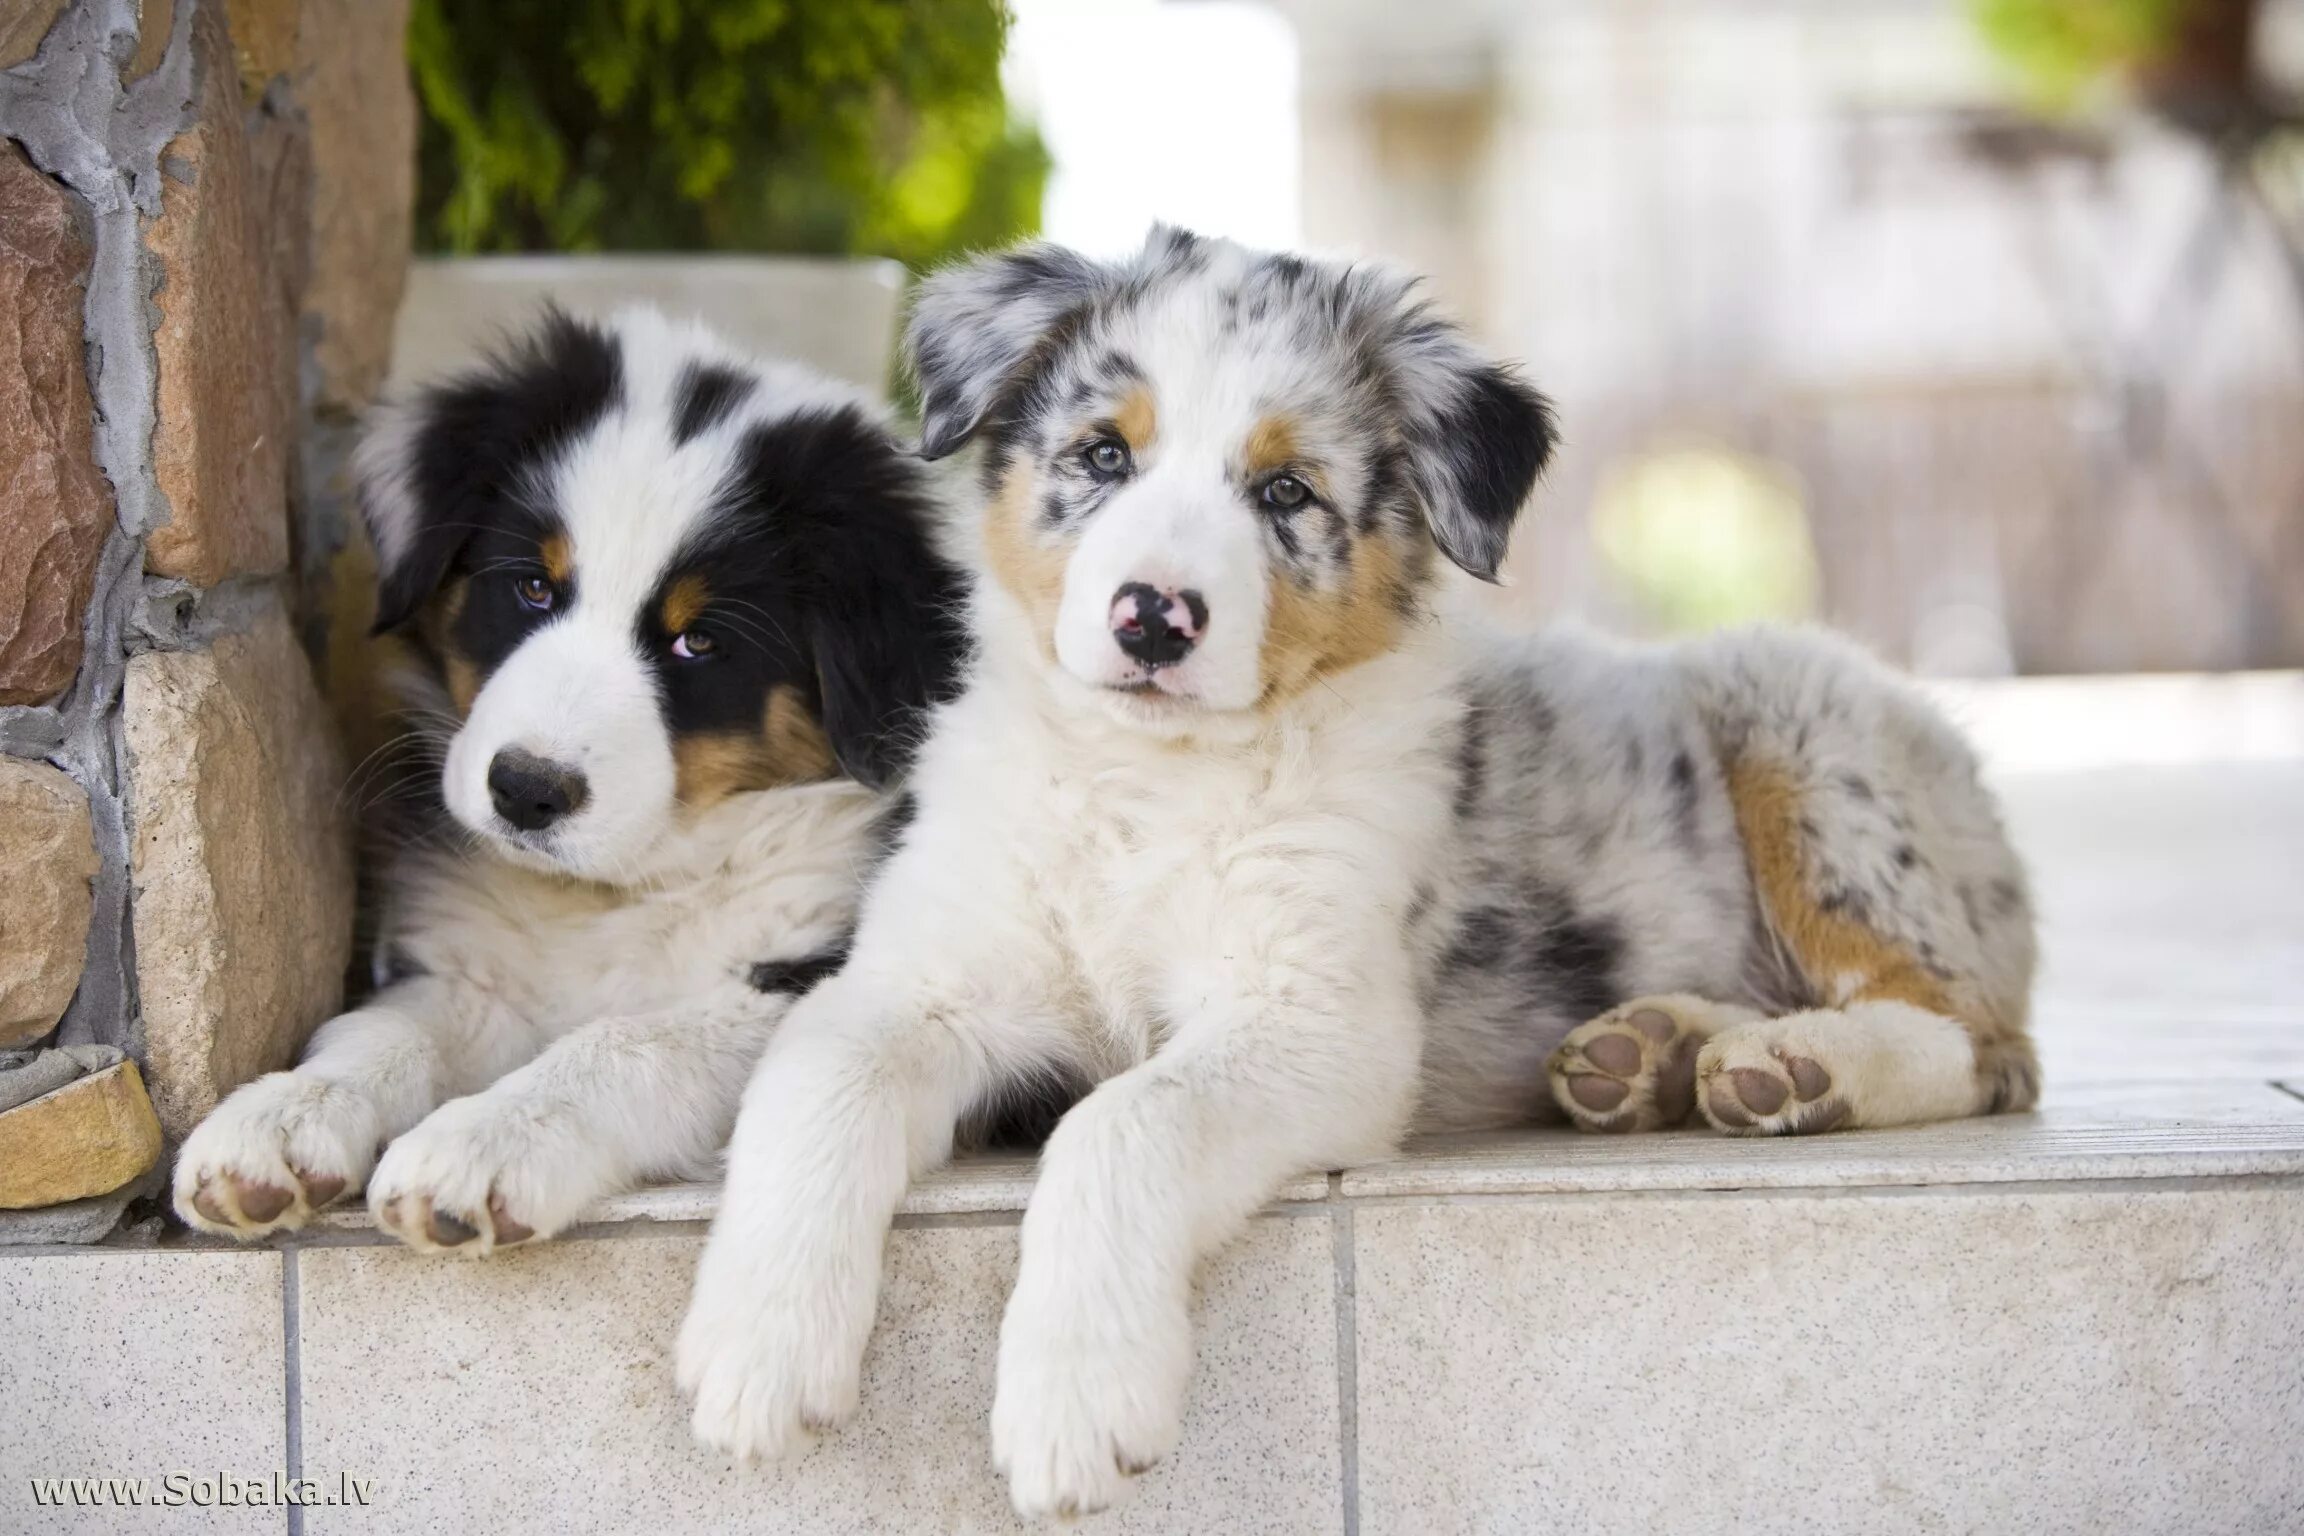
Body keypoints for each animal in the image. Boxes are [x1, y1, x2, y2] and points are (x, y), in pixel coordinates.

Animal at [175, 306, 958, 1252]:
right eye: (534, 588)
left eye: (698, 641)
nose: (526, 790)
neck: (613, 894)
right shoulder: (477, 970)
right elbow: (390, 1024)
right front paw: (284, 1115)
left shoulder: (810, 981)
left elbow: (627, 1043)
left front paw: (483, 1140)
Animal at [672, 227, 2036, 1510]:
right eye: (1103, 457)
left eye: (1285, 491)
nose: (1152, 616)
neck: (1149, 784)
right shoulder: (925, 974)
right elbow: (820, 1078)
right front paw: (758, 1349)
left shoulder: (1320, 1017)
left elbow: (1127, 1120)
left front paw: (1076, 1399)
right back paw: (1649, 1053)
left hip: (1804, 726)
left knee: (1973, 1040)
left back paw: (1791, 1067)